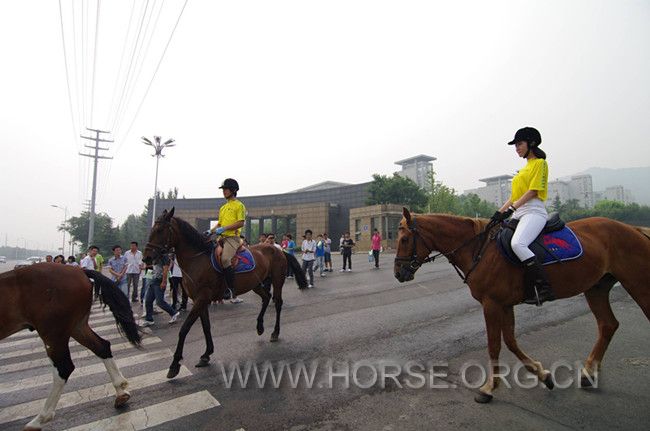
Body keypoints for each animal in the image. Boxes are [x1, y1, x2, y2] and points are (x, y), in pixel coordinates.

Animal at [0, 264, 140, 430]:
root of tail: (79, 270)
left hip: (53, 332)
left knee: (64, 368)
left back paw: (40, 419)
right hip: (77, 326)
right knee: (102, 347)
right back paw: (120, 392)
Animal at [143, 208, 306, 380]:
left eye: (160, 230)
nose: (146, 257)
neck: (198, 259)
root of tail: (278, 249)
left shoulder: (202, 298)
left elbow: (184, 329)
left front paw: (174, 365)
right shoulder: (201, 301)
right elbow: (206, 327)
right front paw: (206, 354)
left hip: (277, 280)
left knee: (277, 302)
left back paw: (275, 332)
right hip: (255, 284)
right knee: (266, 298)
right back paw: (260, 326)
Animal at [392, 209, 644, 404]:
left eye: (404, 239)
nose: (398, 273)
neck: (479, 250)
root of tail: (634, 229)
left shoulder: (491, 304)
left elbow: (494, 345)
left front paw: (488, 388)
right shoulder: (504, 304)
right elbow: (511, 342)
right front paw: (543, 375)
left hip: (637, 283)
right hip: (596, 288)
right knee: (607, 325)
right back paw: (588, 374)